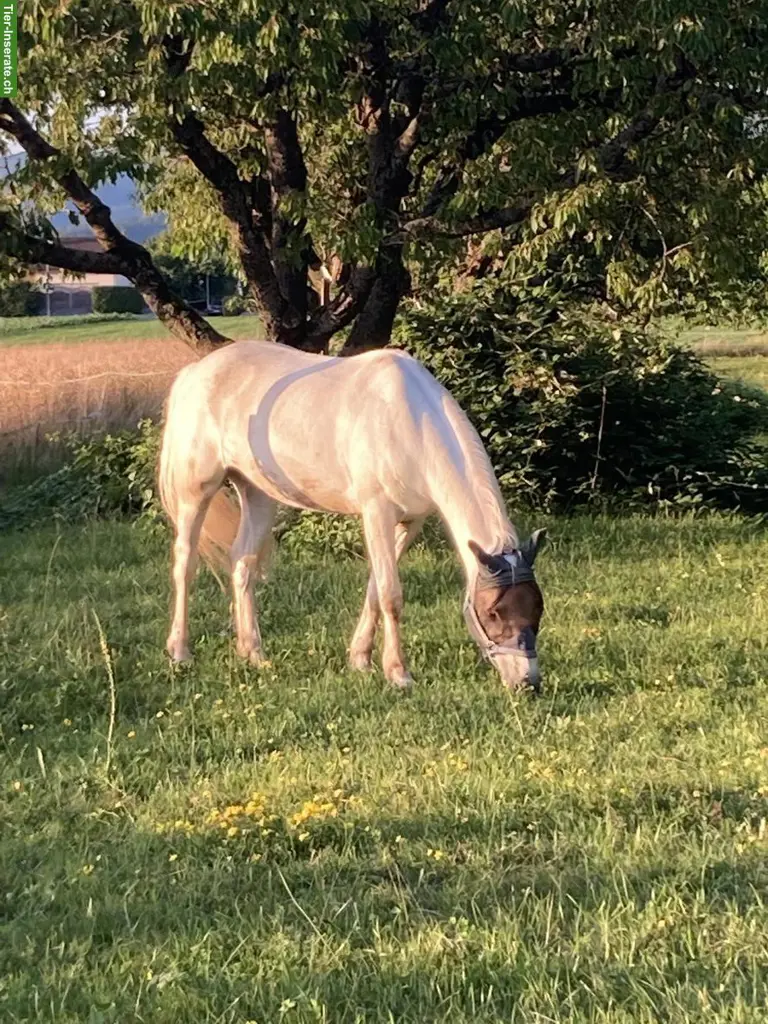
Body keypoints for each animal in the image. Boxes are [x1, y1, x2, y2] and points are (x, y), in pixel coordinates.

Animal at [158, 340, 547, 690]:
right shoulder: (377, 512)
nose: (527, 683)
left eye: (537, 608)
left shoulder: (409, 522)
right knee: (185, 563)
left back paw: (253, 653)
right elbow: (390, 595)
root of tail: (195, 372)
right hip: (197, 492)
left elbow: (375, 589)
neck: (410, 422)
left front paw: (360, 659)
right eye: (493, 612)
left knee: (242, 562)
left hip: (258, 495)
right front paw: (398, 674)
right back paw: (180, 652)